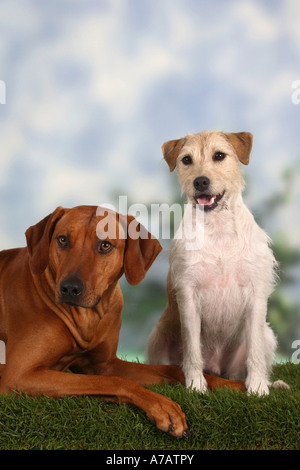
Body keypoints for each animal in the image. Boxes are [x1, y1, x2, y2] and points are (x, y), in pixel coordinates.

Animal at [0, 206, 244, 436]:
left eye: (105, 245)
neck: (86, 317)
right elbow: (113, 382)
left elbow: (172, 369)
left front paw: (231, 385)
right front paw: (163, 406)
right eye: (62, 240)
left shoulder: (105, 364)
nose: (70, 288)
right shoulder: (19, 376)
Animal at [148, 130, 288, 394]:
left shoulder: (256, 295)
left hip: (266, 335)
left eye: (219, 156)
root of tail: (215, 367)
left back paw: (272, 383)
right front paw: (195, 385)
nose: (200, 182)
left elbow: (254, 352)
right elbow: (192, 350)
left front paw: (257, 388)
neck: (218, 228)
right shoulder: (189, 296)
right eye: (186, 160)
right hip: (158, 336)